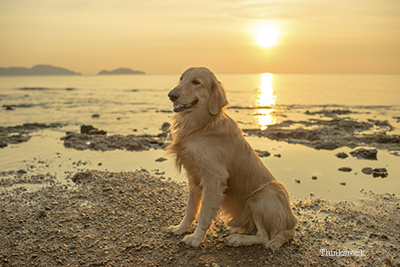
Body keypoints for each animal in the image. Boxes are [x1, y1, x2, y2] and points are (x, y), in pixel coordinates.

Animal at [166, 67, 296, 251]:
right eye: (181, 79)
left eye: (196, 82)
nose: (171, 95)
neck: (201, 125)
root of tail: (291, 225)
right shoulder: (193, 177)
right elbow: (191, 209)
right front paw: (181, 228)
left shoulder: (214, 178)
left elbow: (204, 213)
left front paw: (196, 239)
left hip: (264, 194)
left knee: (264, 237)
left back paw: (238, 239)